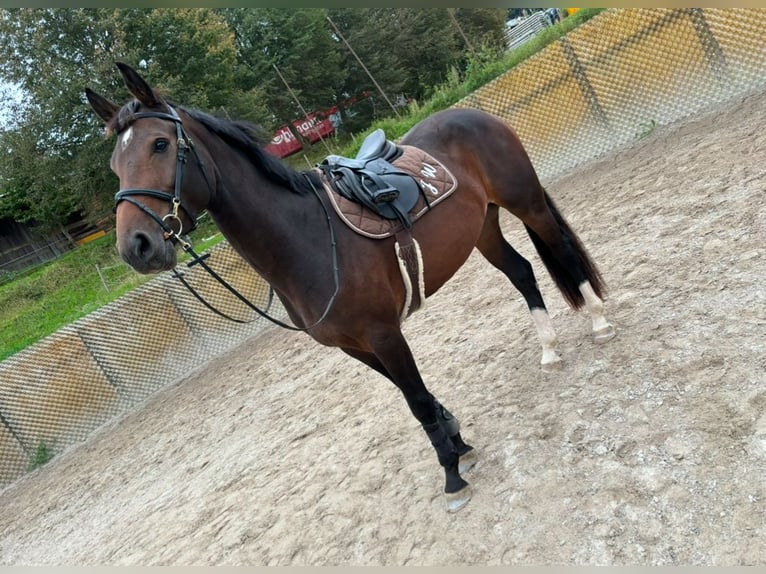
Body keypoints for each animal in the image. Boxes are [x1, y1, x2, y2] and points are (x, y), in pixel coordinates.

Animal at [84, 62, 616, 512]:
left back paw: (600, 323)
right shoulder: (354, 346)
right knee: (522, 272)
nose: (136, 246)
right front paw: (457, 439)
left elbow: (416, 399)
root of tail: (471, 114)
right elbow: (415, 397)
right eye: (114, 164)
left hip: (528, 205)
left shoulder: (384, 334)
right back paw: (549, 348)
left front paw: (452, 474)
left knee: (565, 255)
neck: (309, 238)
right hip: (483, 227)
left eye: (159, 145)